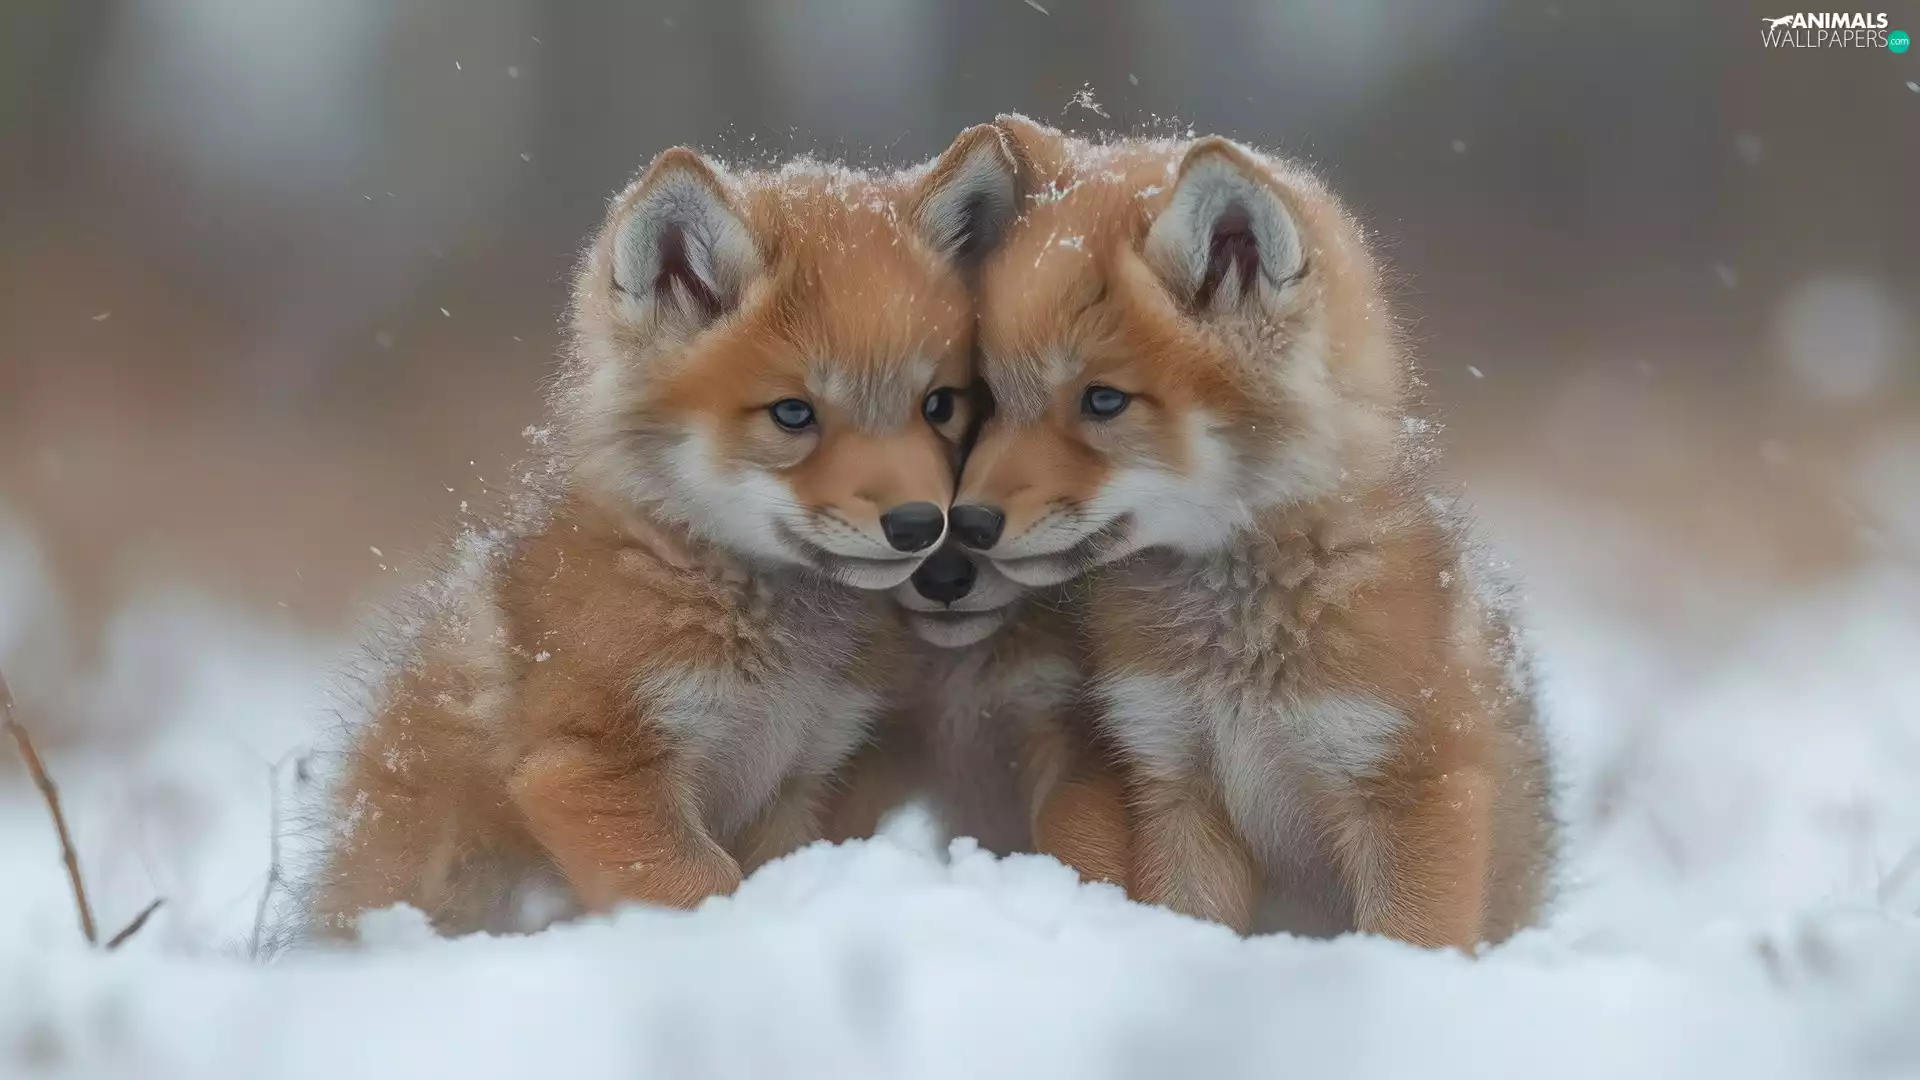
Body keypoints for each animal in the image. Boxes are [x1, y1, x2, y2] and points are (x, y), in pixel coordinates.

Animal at [299, 126, 1023, 939]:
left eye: (939, 405)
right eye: (793, 414)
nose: (920, 525)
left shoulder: (804, 773)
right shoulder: (589, 770)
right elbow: (704, 885)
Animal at [949, 115, 1557, 948]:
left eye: (1104, 401)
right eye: (991, 396)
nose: (965, 523)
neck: (1235, 650)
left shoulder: (1416, 789)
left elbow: (1408, 939)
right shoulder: (1173, 774)